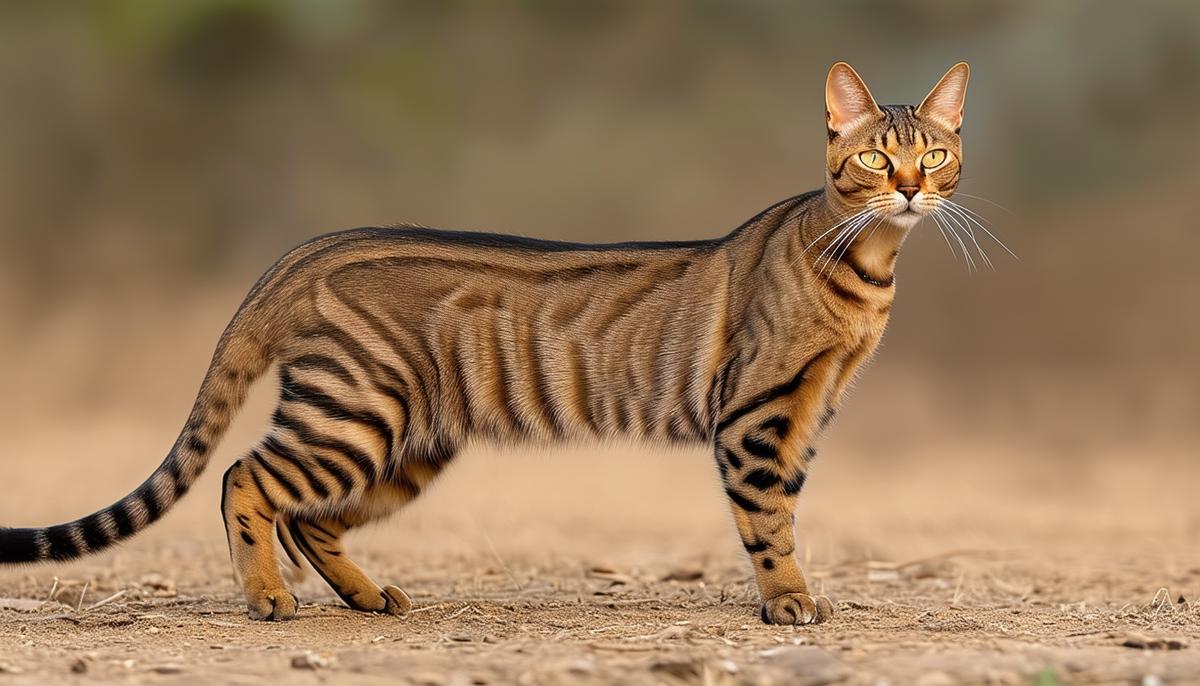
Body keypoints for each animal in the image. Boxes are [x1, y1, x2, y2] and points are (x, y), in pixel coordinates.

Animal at [0, 61, 969, 623]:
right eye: (875, 158)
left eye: (936, 155)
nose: (911, 188)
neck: (865, 266)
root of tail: (306, 250)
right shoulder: (757, 415)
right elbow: (768, 523)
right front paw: (789, 603)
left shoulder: (810, 412)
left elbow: (788, 511)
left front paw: (797, 593)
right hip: (356, 415)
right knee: (246, 478)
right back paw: (268, 598)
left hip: (406, 441)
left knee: (309, 515)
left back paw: (364, 596)